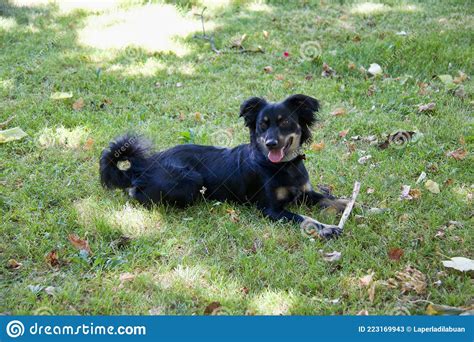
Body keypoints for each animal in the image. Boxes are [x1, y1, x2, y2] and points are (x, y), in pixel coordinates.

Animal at [99, 93, 348, 238]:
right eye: (262, 124)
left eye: (285, 121)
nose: (271, 143)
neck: (284, 167)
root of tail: (145, 164)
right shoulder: (270, 210)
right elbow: (305, 218)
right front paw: (326, 228)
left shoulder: (305, 193)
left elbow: (331, 200)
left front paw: (349, 204)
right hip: (190, 181)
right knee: (136, 193)